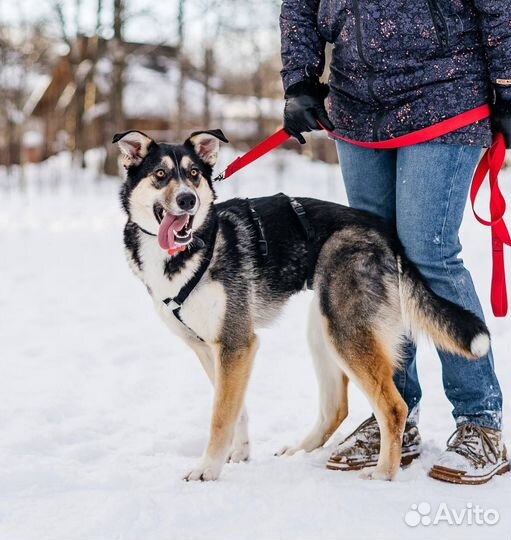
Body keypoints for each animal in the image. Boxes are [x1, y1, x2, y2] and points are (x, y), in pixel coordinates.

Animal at [114, 130, 490, 480]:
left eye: (193, 174)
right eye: (160, 174)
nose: (187, 199)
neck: (192, 249)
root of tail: (384, 232)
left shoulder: (237, 344)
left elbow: (220, 416)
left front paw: (208, 469)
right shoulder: (212, 349)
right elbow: (235, 408)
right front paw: (239, 454)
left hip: (344, 331)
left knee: (394, 408)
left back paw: (383, 473)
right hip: (323, 327)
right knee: (337, 407)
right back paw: (300, 450)